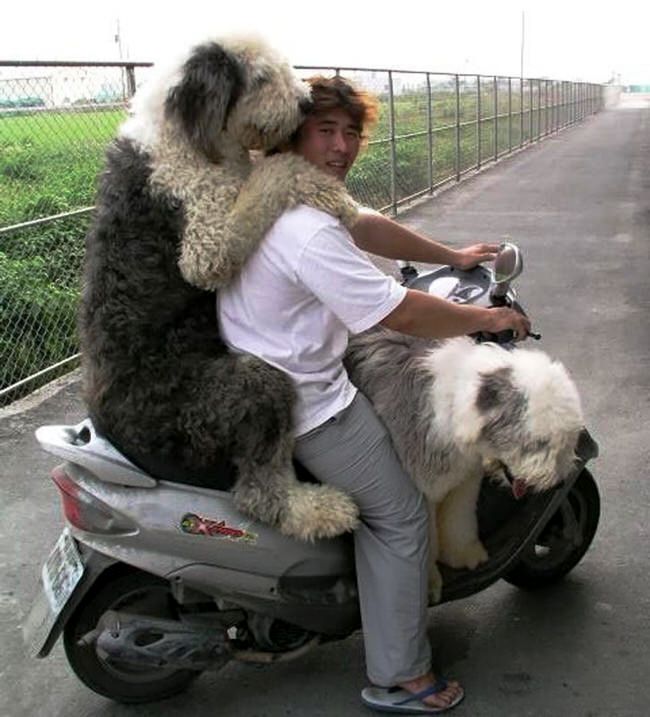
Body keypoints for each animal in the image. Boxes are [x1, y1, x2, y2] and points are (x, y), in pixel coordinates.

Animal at [79, 33, 360, 536]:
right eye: (262, 78)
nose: (306, 102)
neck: (189, 138)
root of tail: (111, 433)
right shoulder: (204, 237)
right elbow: (274, 174)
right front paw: (337, 198)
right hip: (244, 388)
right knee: (257, 492)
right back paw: (318, 510)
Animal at [344, 330, 584, 600]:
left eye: (563, 441)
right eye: (538, 442)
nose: (559, 482)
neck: (455, 405)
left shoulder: (465, 478)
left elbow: (458, 519)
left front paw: (466, 555)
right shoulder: (421, 487)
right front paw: (429, 584)